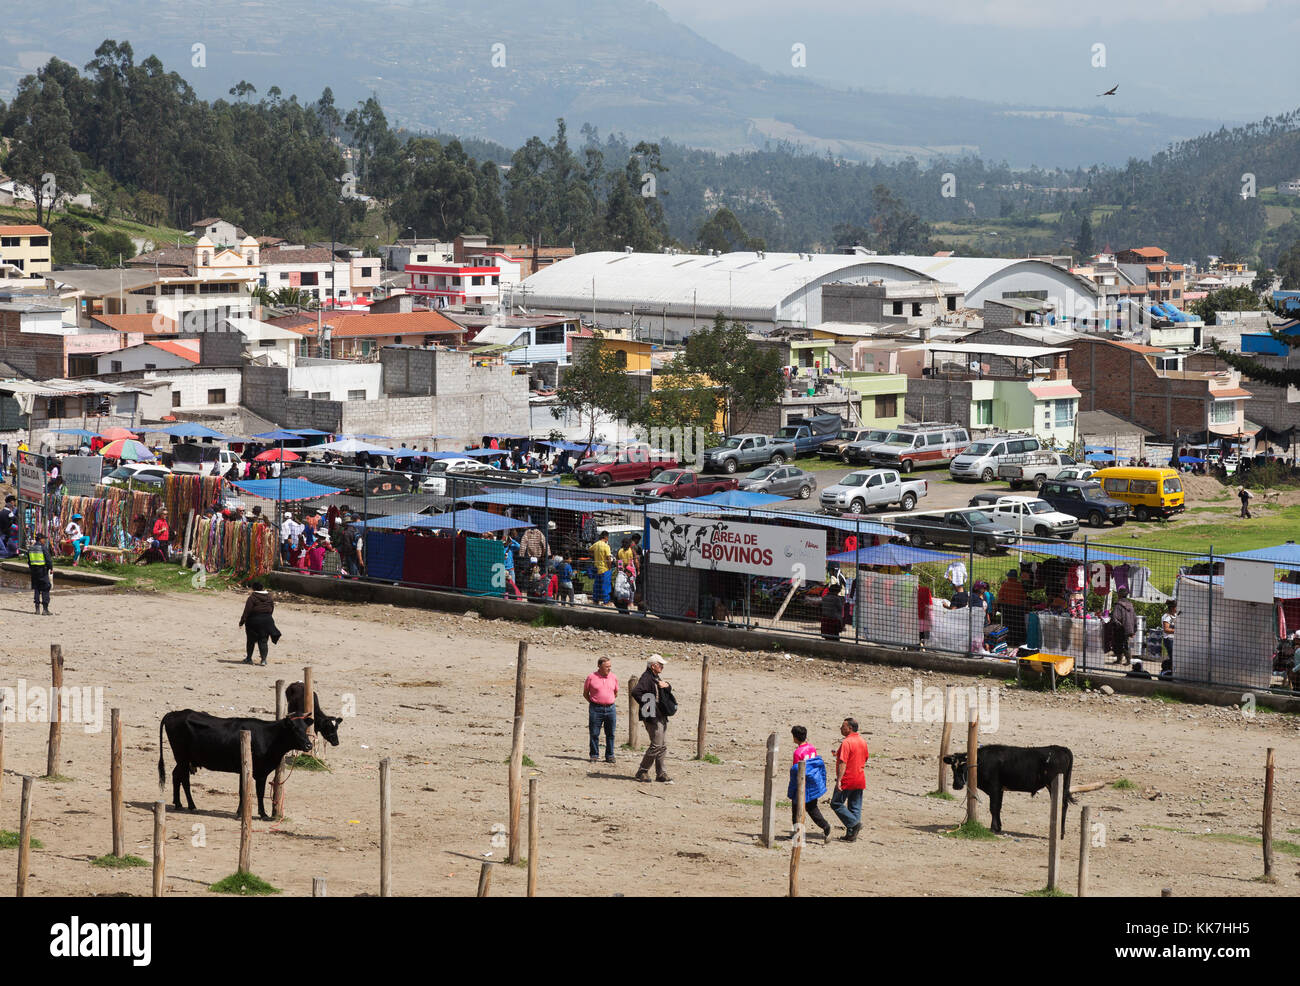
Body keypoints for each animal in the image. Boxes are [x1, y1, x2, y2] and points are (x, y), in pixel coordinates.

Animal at [159, 712, 314, 816]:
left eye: (305, 728)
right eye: (293, 728)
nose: (309, 745)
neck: (268, 737)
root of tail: (174, 713)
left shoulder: (256, 771)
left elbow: (252, 791)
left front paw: (253, 813)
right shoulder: (251, 770)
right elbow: (250, 791)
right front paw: (251, 813)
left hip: (183, 759)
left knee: (176, 775)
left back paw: (179, 803)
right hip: (182, 757)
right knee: (183, 778)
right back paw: (190, 805)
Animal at [946, 744, 1076, 837]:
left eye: (963, 767)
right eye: (952, 768)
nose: (956, 785)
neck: (981, 762)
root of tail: (1062, 749)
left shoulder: (994, 788)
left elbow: (993, 807)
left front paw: (993, 828)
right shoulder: (1000, 790)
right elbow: (998, 807)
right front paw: (998, 827)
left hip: (1055, 786)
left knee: (1062, 806)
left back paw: (1060, 833)